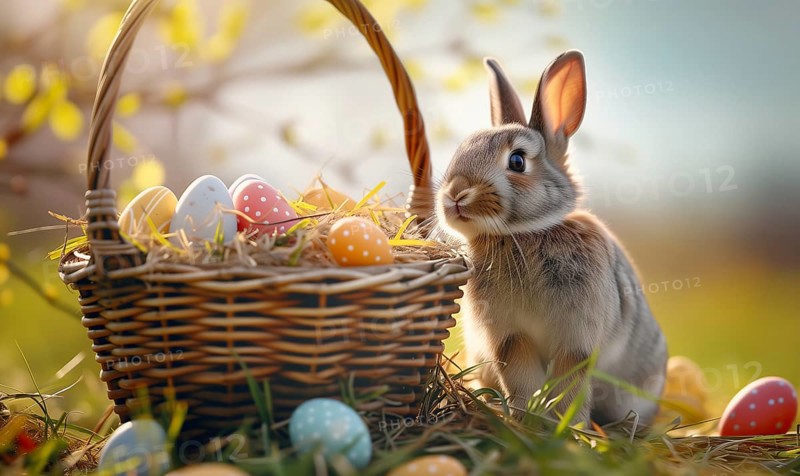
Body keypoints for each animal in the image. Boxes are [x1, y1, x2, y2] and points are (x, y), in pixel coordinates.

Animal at [434, 50, 668, 426]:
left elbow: (568, 387)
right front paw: (527, 420)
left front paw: (566, 426)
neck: (526, 234)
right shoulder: (511, 339)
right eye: (461, 150)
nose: (455, 194)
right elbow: (522, 381)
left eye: (517, 161)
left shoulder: (575, 343)